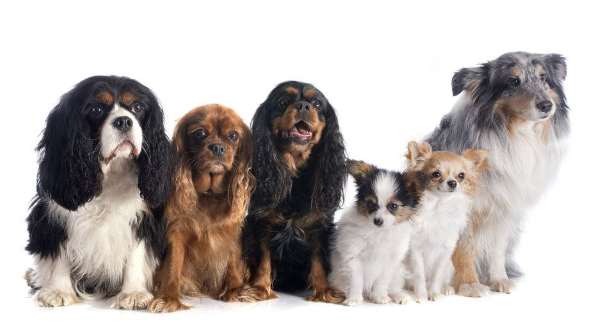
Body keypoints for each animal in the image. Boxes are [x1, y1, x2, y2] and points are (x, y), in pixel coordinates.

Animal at [25, 76, 171, 310]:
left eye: (138, 107)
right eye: (96, 109)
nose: (124, 121)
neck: (111, 171)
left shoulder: (144, 217)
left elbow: (136, 253)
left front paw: (134, 293)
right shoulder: (52, 214)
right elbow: (58, 252)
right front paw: (58, 291)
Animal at [150, 104, 255, 312]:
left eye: (233, 135)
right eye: (199, 133)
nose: (217, 147)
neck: (209, 195)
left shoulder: (232, 230)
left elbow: (233, 261)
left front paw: (235, 290)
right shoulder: (177, 231)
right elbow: (173, 265)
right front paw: (168, 298)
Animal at [328, 161, 422, 308]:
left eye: (393, 206)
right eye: (371, 203)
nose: (378, 221)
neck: (379, 232)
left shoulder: (390, 262)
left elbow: (382, 281)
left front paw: (380, 297)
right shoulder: (353, 256)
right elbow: (356, 279)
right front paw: (354, 298)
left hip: (397, 272)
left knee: (393, 288)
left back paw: (399, 296)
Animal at [404, 142, 488, 304]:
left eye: (461, 175)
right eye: (436, 174)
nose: (452, 182)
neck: (439, 206)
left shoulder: (446, 251)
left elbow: (437, 274)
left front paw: (434, 293)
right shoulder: (416, 250)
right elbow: (419, 275)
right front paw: (422, 296)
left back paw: (446, 288)